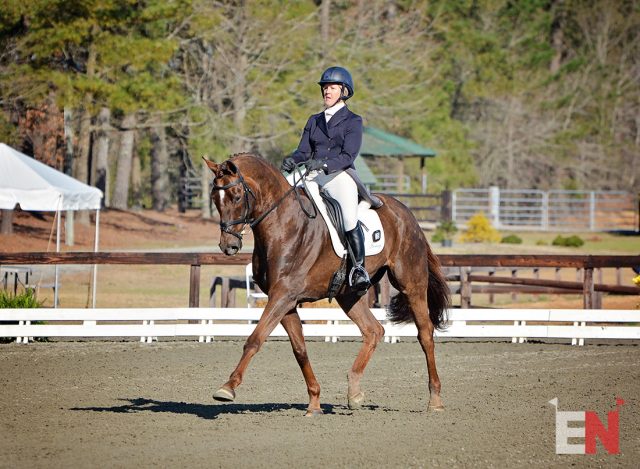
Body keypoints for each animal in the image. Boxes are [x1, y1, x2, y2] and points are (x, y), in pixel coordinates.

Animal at [205, 152, 450, 414]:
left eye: (237, 196)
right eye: (214, 198)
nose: (228, 246)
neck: (283, 224)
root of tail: (406, 212)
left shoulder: (282, 296)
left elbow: (255, 339)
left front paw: (227, 388)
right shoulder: (285, 300)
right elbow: (300, 349)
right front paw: (314, 402)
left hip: (412, 284)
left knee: (425, 334)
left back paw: (435, 399)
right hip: (348, 294)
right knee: (373, 330)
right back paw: (354, 392)